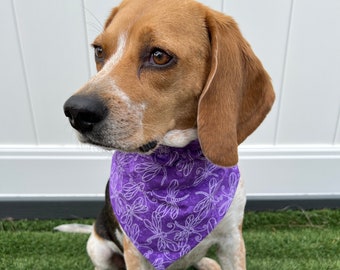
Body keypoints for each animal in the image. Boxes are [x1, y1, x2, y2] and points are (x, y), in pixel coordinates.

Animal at [60, 1, 274, 268]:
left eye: (159, 56)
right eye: (99, 51)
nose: (76, 112)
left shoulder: (232, 240)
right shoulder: (135, 252)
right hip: (98, 248)